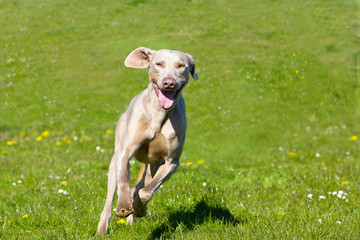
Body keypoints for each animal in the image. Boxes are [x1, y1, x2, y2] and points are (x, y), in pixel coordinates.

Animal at [96, 46, 197, 234]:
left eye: (181, 66)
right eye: (158, 64)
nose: (169, 83)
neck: (159, 113)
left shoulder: (172, 161)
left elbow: (146, 192)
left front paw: (139, 207)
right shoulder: (125, 153)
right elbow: (124, 181)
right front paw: (123, 206)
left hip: (152, 166)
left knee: (140, 186)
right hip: (115, 159)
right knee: (110, 197)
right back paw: (102, 229)